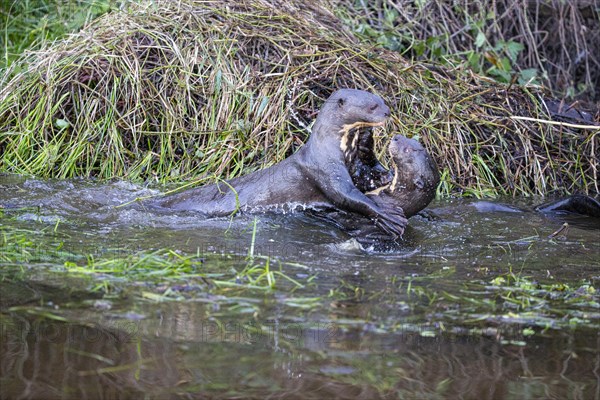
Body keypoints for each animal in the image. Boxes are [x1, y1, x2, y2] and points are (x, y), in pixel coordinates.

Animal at [150, 88, 408, 238]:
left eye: (382, 100)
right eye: (372, 106)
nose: (388, 112)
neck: (338, 147)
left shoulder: (355, 164)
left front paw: (386, 177)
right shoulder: (325, 169)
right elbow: (345, 194)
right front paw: (389, 217)